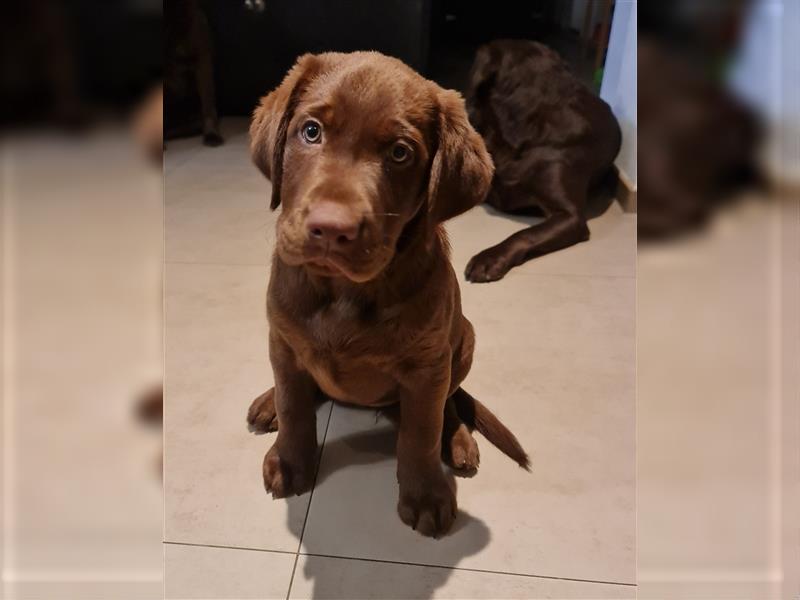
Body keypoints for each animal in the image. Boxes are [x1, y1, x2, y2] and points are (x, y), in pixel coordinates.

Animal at [244, 52, 532, 540]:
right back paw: (268, 405)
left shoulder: (426, 366)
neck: (343, 291)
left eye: (400, 153)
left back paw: (458, 440)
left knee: (450, 401)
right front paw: (290, 459)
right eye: (311, 131)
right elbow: (294, 403)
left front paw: (426, 496)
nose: (331, 229)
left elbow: (420, 431)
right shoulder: (281, 338)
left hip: (463, 343)